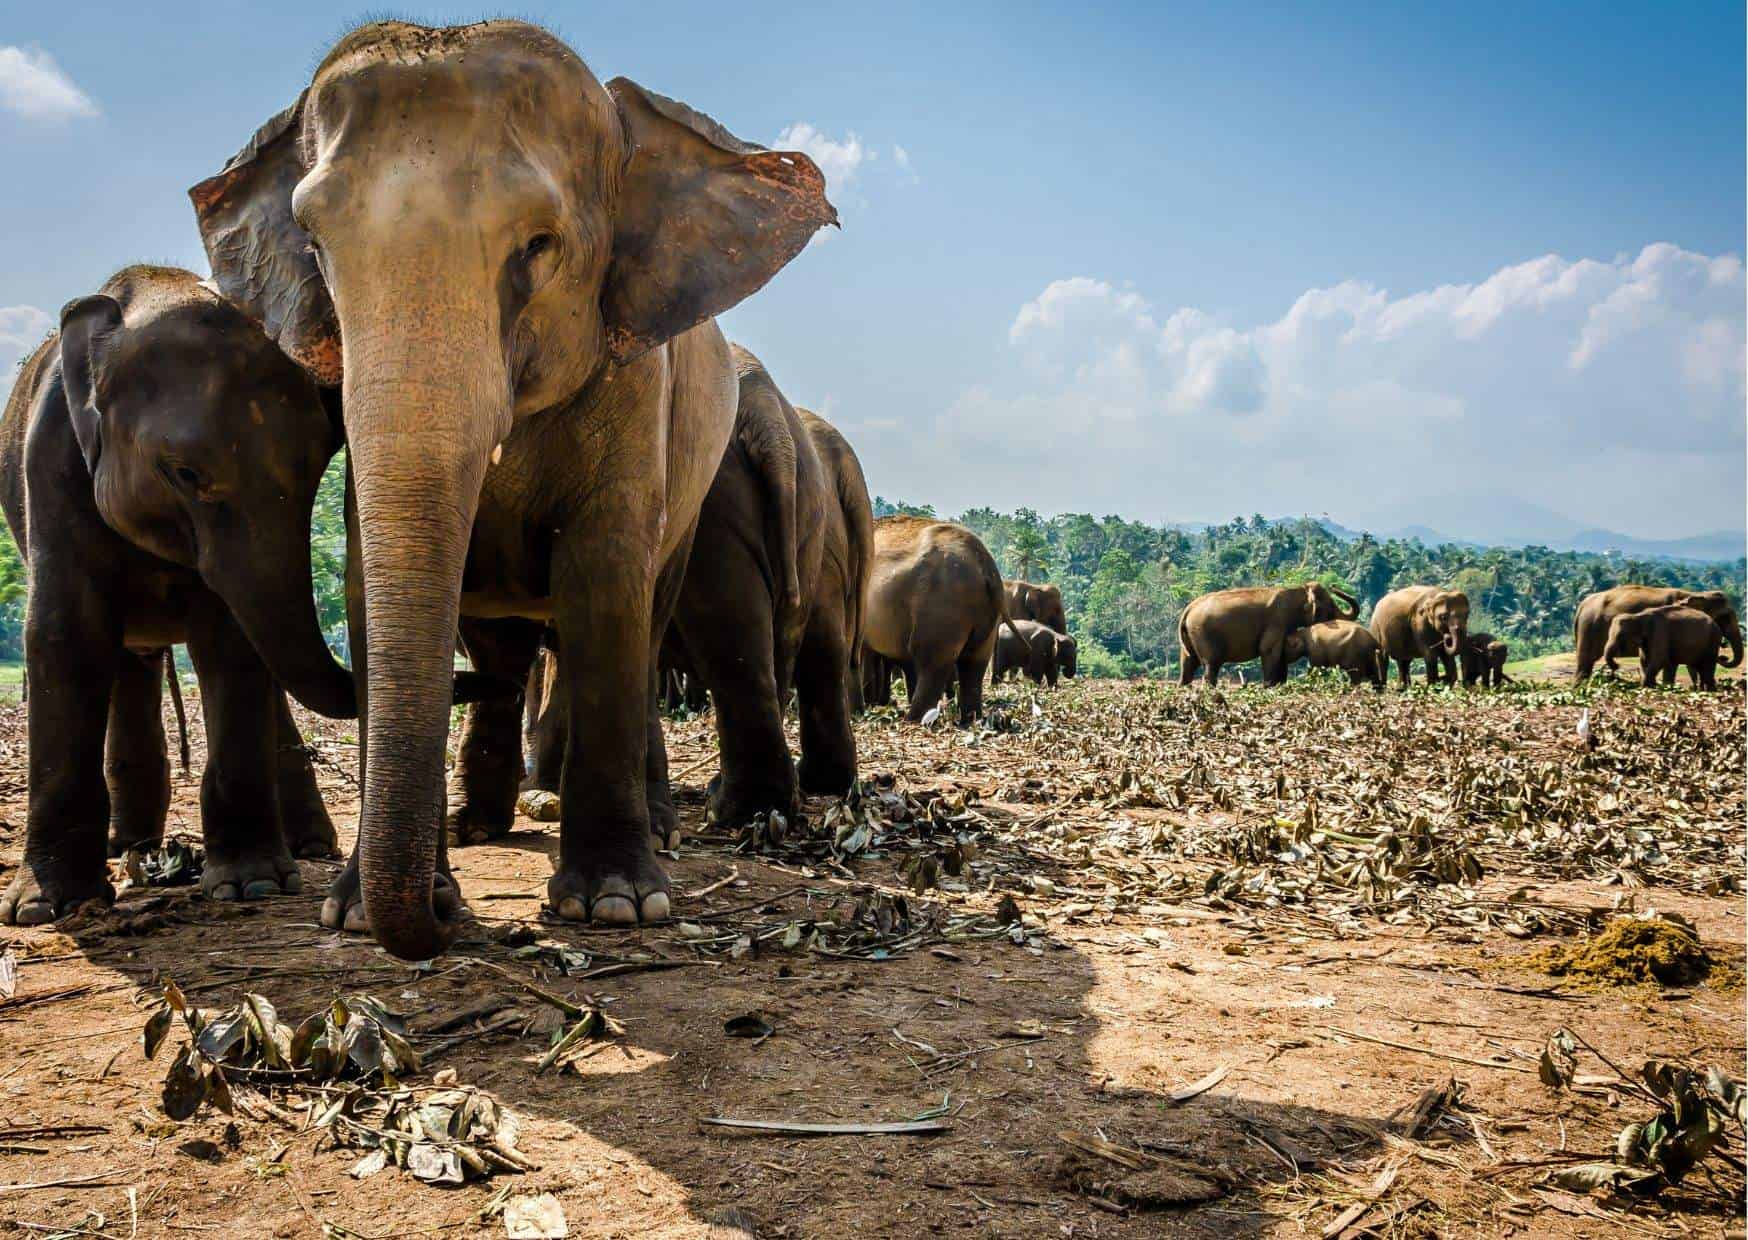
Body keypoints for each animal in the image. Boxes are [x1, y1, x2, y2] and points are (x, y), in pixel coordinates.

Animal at [0, 266, 358, 925]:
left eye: (320, 466)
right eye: (186, 474)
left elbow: (229, 641)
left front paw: (252, 886)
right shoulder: (52, 465)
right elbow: (66, 634)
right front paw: (44, 907)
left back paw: (306, 848)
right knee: (128, 662)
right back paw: (130, 844)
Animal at [472, 353, 873, 837]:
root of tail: (766, 410)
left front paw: (541, 796)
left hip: (714, 511)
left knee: (729, 636)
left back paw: (732, 809)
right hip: (811, 526)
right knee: (805, 651)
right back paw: (797, 792)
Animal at [863, 517, 1027, 724]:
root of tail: (986, 565)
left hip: (940, 607)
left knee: (930, 661)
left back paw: (913, 719)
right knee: (973, 663)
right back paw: (969, 719)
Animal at [1177, 583, 1359, 687]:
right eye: (1329, 607)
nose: (1334, 586)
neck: (1298, 591)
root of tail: (1189, 609)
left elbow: (1281, 654)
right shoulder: (1277, 621)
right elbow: (1269, 650)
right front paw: (1269, 687)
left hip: (1191, 637)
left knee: (1188, 664)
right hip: (1203, 634)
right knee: (1211, 665)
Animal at [1573, 585, 1743, 681]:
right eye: (1725, 617)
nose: (1723, 655)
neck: (1695, 593)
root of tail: (1581, 605)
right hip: (1589, 626)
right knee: (1585, 662)